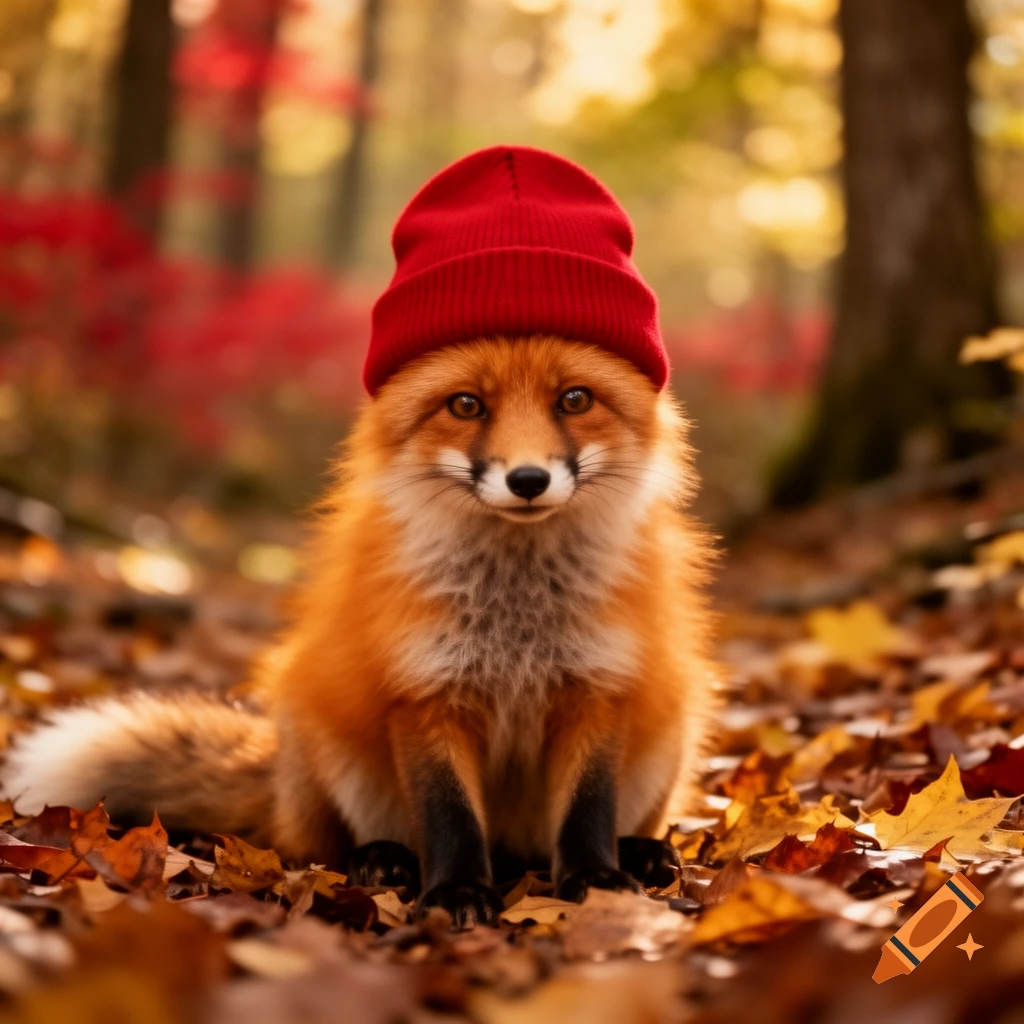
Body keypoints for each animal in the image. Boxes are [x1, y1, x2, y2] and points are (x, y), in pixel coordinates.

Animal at [1, 146, 719, 927]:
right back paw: (384, 862)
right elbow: (449, 816)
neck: (516, 623)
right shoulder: (424, 694)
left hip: (673, 724)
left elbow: (588, 810)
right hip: (331, 744)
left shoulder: (597, 688)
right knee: (326, 846)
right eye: (466, 406)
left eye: (575, 400)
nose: (528, 479)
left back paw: (641, 852)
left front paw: (596, 880)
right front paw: (457, 891)